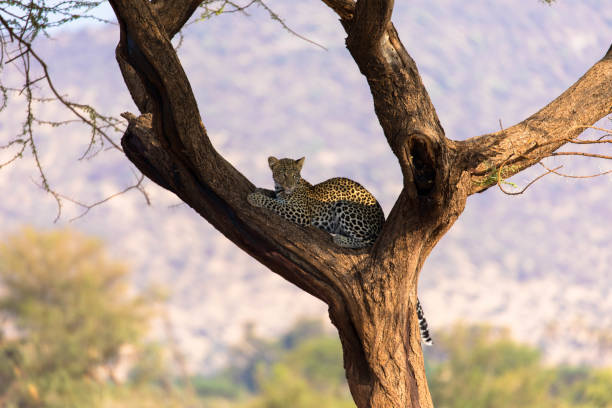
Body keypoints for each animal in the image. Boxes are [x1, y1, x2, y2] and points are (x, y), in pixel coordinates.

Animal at [246, 156, 432, 344]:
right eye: (283, 174)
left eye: (295, 175)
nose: (290, 186)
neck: (284, 190)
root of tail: (383, 221)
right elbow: (274, 197)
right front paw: (262, 189)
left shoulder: (300, 213)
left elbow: (275, 205)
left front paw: (255, 197)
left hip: (345, 206)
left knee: (369, 241)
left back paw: (339, 238)